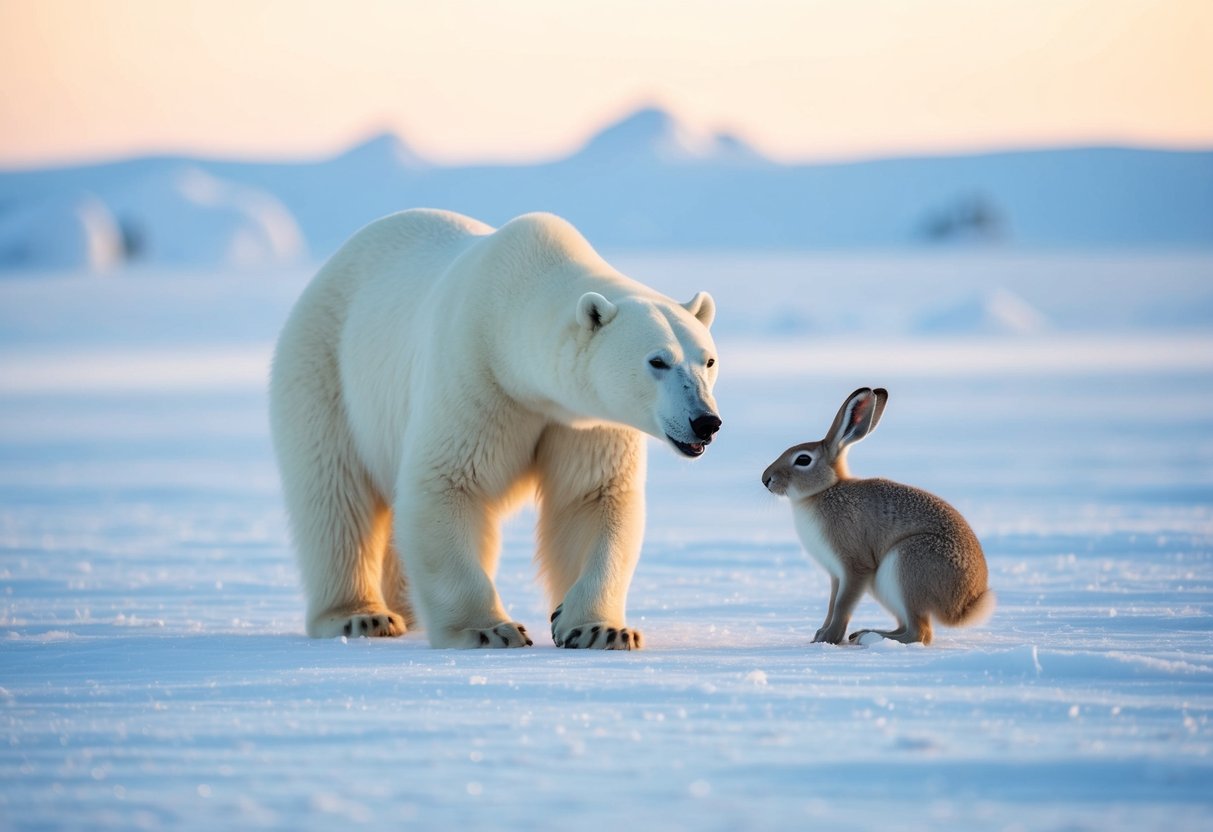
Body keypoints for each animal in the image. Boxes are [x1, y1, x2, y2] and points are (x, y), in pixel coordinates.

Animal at [269, 209, 722, 649]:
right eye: (657, 361)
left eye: (708, 360)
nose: (706, 421)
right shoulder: (476, 376)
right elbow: (447, 483)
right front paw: (487, 630)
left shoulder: (584, 419)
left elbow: (593, 497)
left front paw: (600, 629)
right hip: (325, 369)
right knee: (335, 495)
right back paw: (360, 615)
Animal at [762, 387, 994, 646]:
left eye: (803, 459)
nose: (766, 479)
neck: (825, 490)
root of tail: (965, 606)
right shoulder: (836, 574)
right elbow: (832, 603)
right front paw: (820, 636)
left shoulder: (855, 566)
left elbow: (842, 605)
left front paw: (829, 639)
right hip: (884, 586)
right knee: (907, 626)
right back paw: (866, 634)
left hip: (908, 566)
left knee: (919, 632)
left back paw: (868, 638)